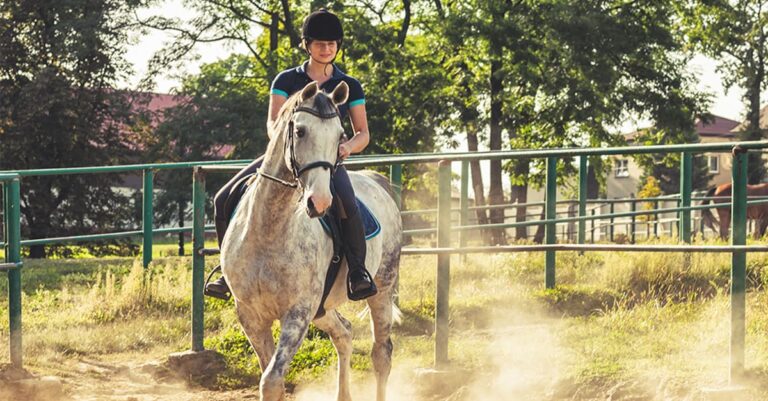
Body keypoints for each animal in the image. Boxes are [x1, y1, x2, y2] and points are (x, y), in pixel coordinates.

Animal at [220, 81, 402, 401]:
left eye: (341, 136)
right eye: (301, 131)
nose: (320, 202)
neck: (269, 231)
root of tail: (376, 181)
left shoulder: (298, 312)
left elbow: (271, 380)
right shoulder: (250, 314)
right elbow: (269, 377)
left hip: (381, 290)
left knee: (382, 354)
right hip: (324, 308)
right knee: (344, 333)